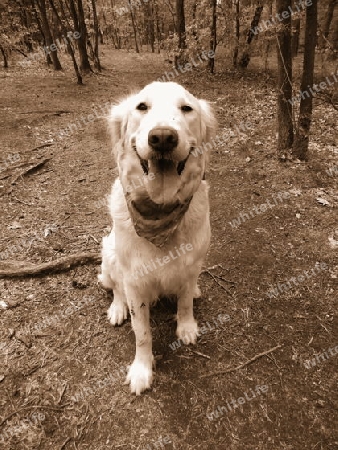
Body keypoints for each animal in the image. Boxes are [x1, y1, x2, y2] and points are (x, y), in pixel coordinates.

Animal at [97, 81, 217, 394]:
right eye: (142, 107)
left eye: (186, 108)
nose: (163, 138)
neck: (160, 213)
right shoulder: (135, 282)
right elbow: (142, 333)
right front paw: (142, 370)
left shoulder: (190, 265)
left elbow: (185, 301)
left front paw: (186, 327)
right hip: (109, 251)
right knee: (114, 286)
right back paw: (117, 308)